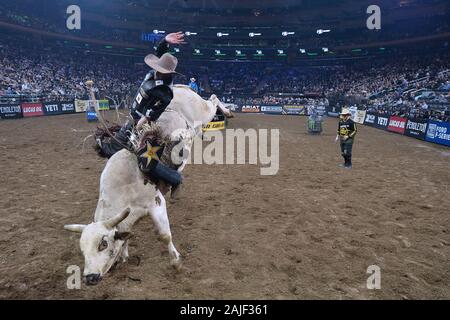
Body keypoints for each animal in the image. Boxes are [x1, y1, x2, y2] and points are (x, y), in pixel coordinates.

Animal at [64, 85, 232, 284]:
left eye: (103, 244)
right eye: (82, 249)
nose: (90, 277)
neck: (123, 190)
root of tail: (179, 88)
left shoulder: (156, 203)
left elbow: (164, 235)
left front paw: (176, 262)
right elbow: (126, 236)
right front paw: (124, 255)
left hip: (203, 110)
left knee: (213, 100)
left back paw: (227, 112)